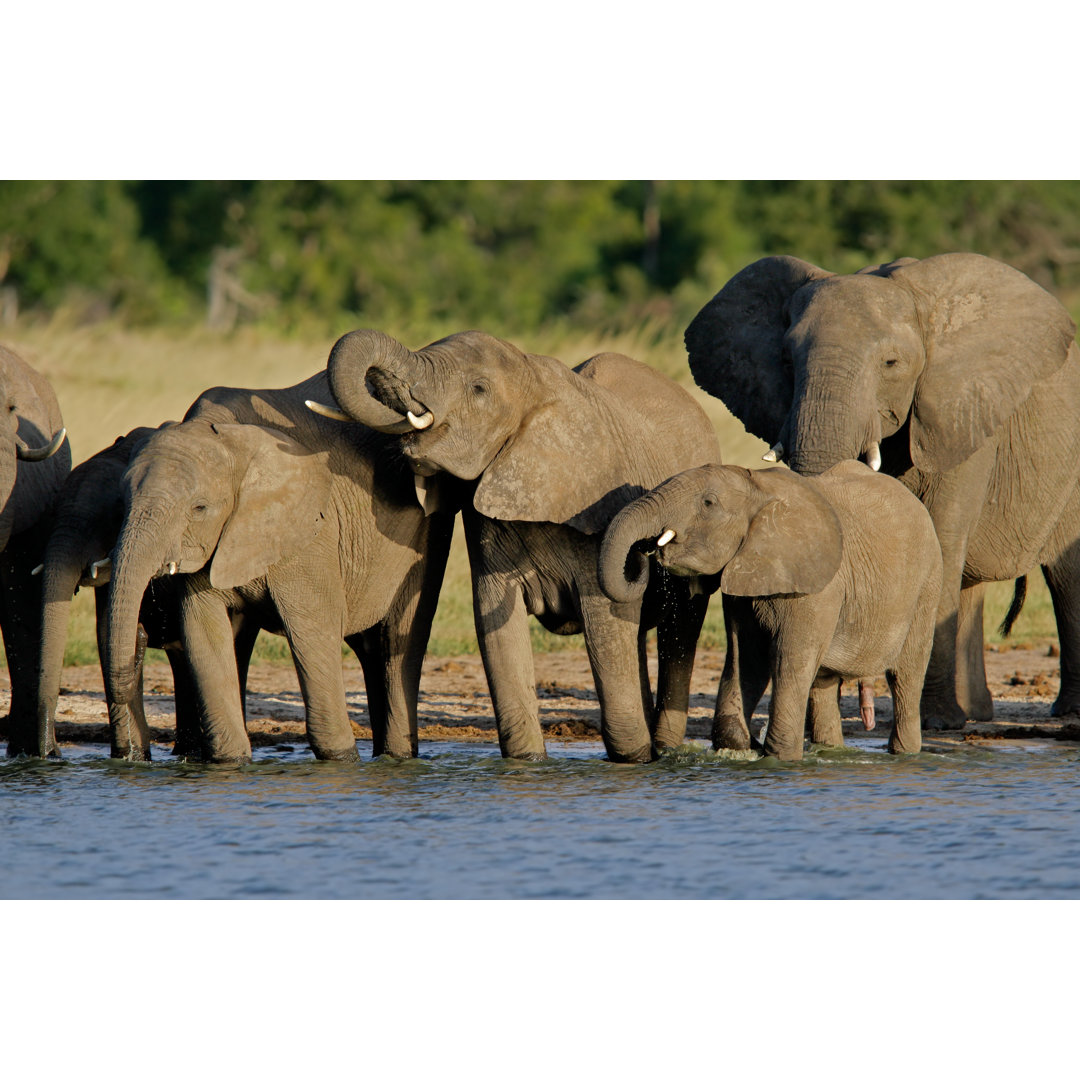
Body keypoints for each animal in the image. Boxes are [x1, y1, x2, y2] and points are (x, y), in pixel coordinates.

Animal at [34, 425, 263, 761]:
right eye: (53, 512)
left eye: (113, 515)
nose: (52, 753)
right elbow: (107, 634)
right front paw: (131, 760)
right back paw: (186, 752)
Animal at [103, 370, 456, 764]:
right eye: (122, 501)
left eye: (199, 508)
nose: (140, 638)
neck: (229, 438)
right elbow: (203, 632)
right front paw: (231, 762)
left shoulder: (309, 532)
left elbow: (313, 627)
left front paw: (340, 760)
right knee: (368, 649)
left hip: (429, 531)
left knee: (397, 640)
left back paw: (397, 757)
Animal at [311, 328, 721, 763]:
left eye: (478, 389)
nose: (642, 556)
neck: (534, 379)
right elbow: (497, 629)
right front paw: (528, 762)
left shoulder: (599, 506)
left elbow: (607, 624)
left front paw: (632, 759)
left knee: (681, 631)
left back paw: (664, 749)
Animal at [598, 461, 943, 760]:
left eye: (709, 503)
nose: (644, 553)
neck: (760, 488)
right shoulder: (743, 580)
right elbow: (747, 657)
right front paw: (744, 745)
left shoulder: (817, 587)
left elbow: (788, 659)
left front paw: (780, 758)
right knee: (823, 681)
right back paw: (831, 754)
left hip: (926, 585)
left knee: (906, 673)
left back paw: (905, 754)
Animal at [684, 252, 1080, 730]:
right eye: (785, 361)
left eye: (891, 363)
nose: (866, 707)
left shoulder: (961, 413)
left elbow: (941, 536)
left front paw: (936, 724)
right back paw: (975, 714)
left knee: (1065, 574)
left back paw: (1061, 710)